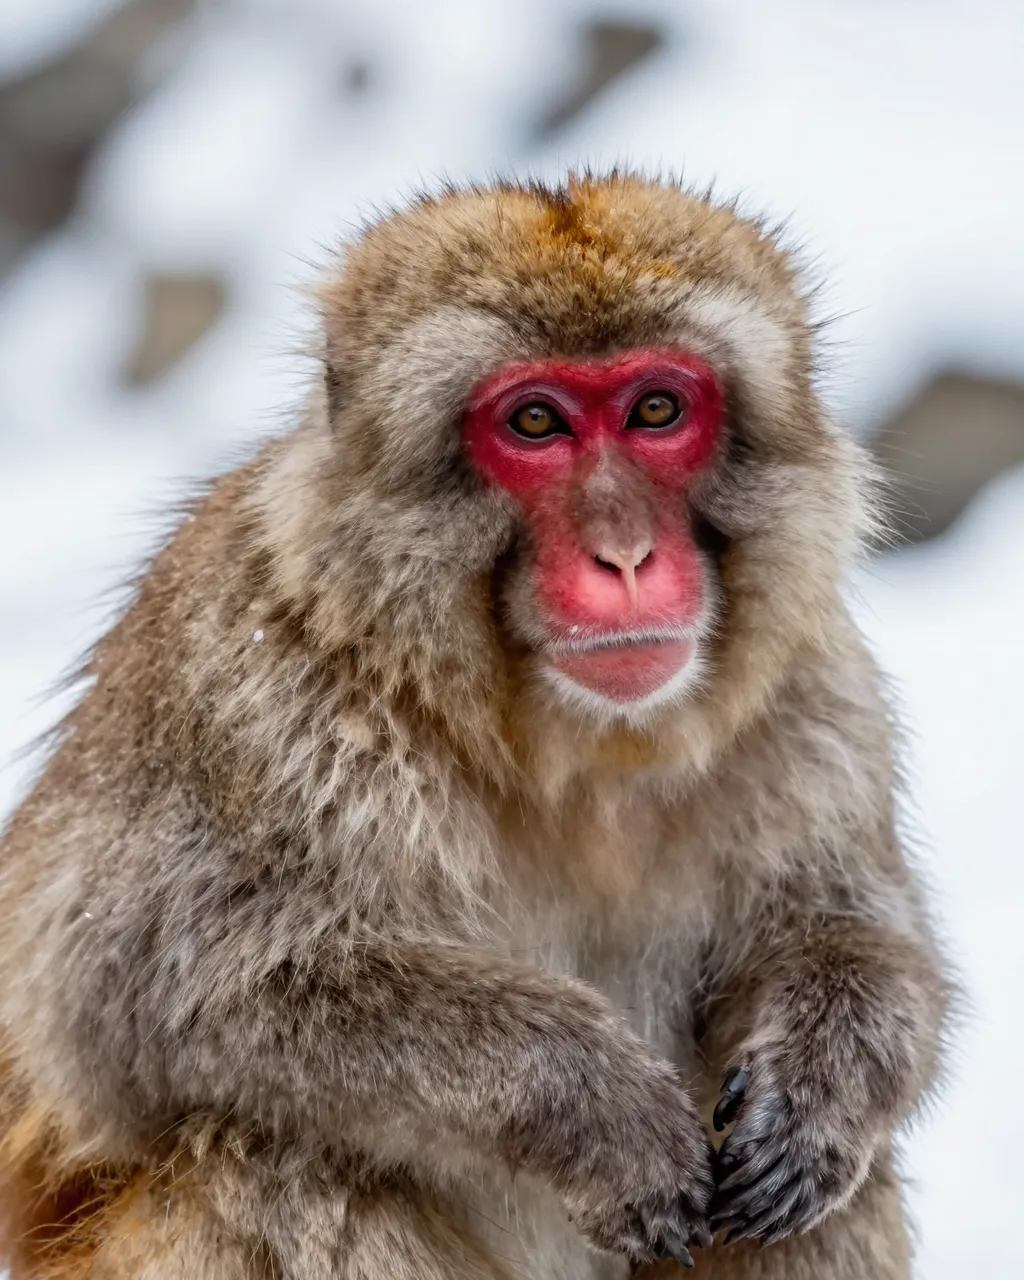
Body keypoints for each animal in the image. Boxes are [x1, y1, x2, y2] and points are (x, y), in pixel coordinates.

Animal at [0, 173, 952, 1280]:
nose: (625, 554)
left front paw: (816, 1089)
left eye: (656, 410)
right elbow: (142, 1004)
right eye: (535, 421)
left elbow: (854, 930)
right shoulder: (245, 698)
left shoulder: (815, 702)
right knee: (269, 1157)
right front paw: (594, 1103)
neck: (573, 748)